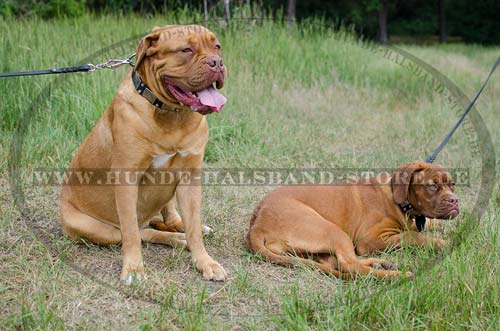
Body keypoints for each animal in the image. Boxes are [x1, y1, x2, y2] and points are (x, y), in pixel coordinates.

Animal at [59, 26, 229, 286]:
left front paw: (205, 262)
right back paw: (176, 240)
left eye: (216, 46)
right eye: (186, 50)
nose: (217, 62)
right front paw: (133, 269)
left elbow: (193, 228)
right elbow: (130, 232)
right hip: (91, 226)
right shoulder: (127, 179)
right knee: (140, 231)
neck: (171, 113)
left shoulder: (190, 176)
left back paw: (183, 232)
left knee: (170, 219)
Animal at [244, 162, 458, 278]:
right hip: (331, 229)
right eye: (432, 186)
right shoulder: (370, 239)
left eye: (452, 184)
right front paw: (443, 243)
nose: (455, 201)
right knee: (350, 265)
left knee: (337, 262)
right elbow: (411, 236)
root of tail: (257, 223)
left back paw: (382, 264)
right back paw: (396, 276)